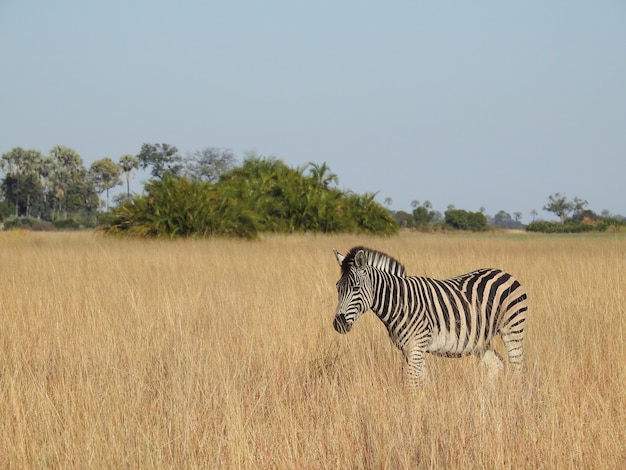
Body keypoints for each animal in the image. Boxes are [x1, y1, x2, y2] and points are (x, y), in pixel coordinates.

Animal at [332, 246, 528, 386]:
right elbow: (423, 382)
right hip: (480, 340)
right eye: (337, 287)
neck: (401, 303)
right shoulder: (410, 349)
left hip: (512, 328)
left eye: (356, 288)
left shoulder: (416, 345)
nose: (338, 324)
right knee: (497, 365)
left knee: (517, 367)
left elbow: (411, 383)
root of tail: (504, 272)